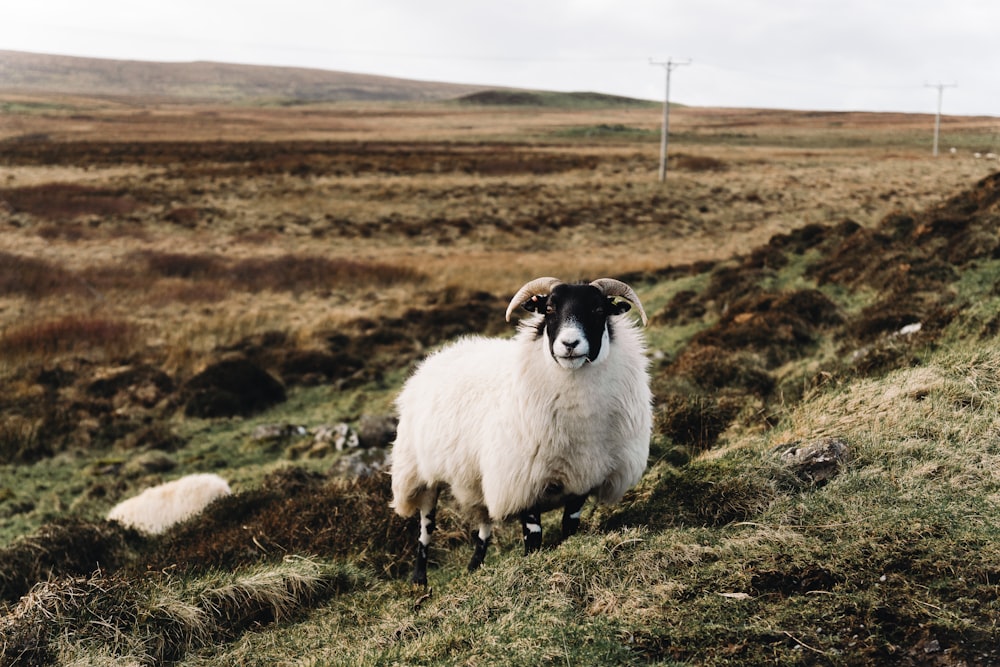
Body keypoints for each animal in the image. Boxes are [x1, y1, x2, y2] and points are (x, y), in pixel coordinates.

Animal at [390, 276, 656, 584]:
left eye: (599, 310)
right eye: (549, 309)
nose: (569, 344)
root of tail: (439, 355)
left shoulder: (582, 477)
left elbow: (569, 526)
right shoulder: (523, 480)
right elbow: (533, 536)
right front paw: (532, 566)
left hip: (477, 478)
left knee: (484, 521)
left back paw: (475, 565)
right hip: (419, 471)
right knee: (426, 525)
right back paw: (419, 580)